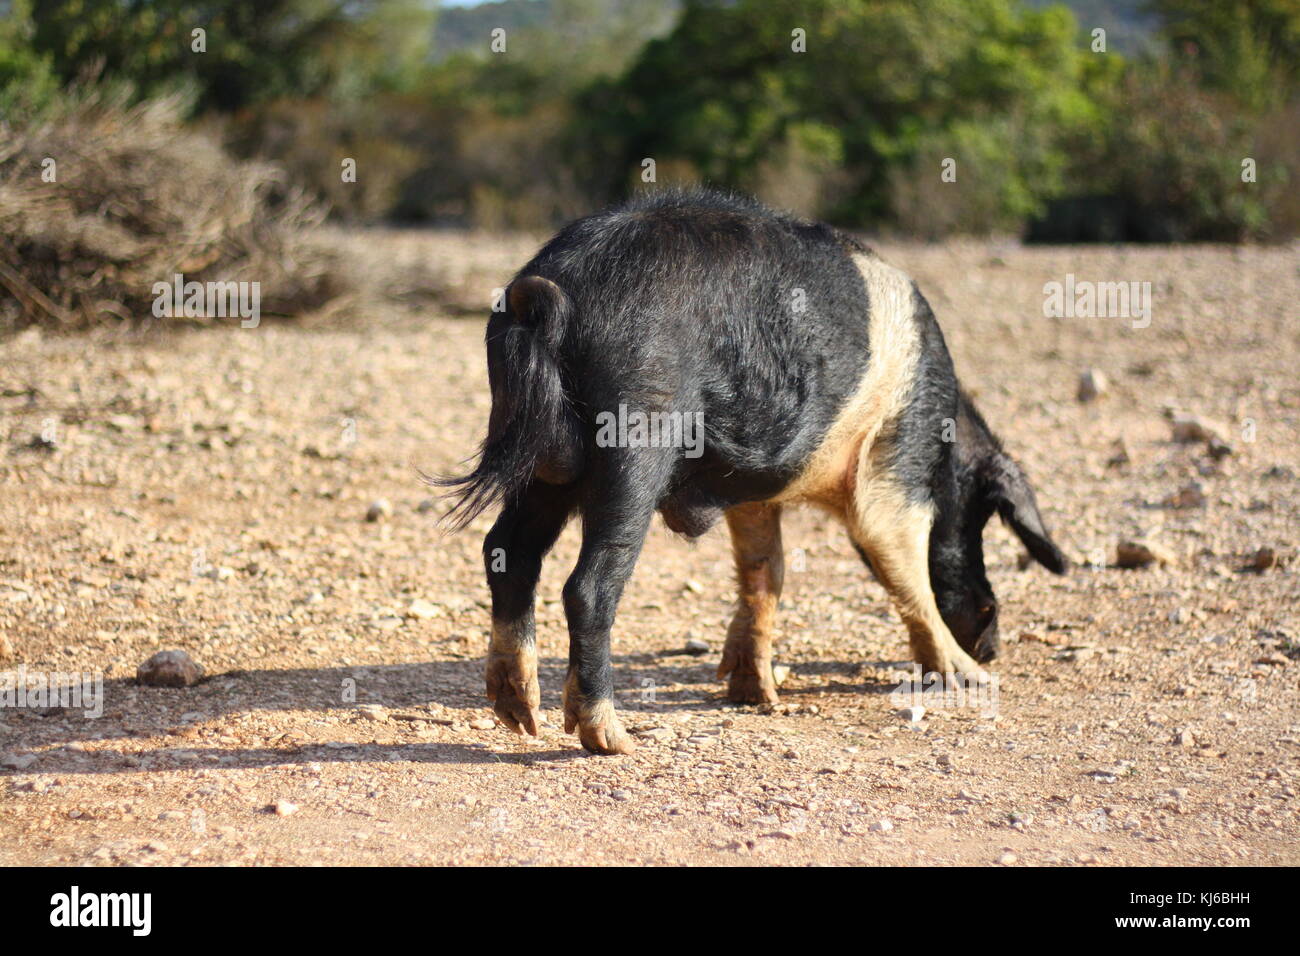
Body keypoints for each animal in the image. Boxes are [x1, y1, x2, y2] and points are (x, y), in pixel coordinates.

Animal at [436, 187, 1066, 754]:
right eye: (979, 518)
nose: (993, 644)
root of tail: (551, 291)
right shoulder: (896, 462)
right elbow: (902, 564)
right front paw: (973, 679)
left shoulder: (753, 495)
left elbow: (767, 571)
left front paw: (754, 694)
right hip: (637, 437)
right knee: (587, 586)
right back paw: (611, 739)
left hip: (541, 457)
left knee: (508, 551)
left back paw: (518, 714)